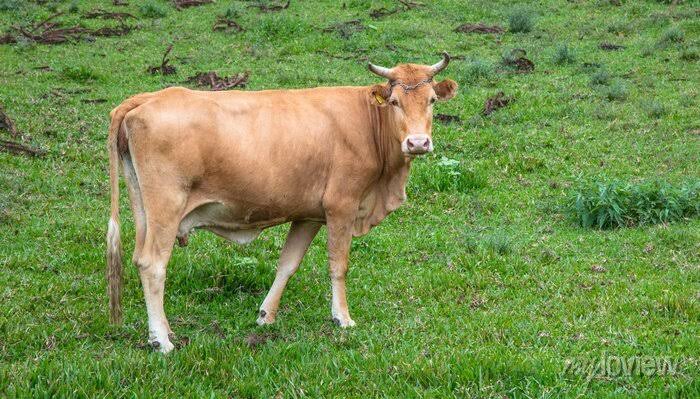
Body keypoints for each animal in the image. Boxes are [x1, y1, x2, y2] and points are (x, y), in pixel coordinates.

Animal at [106, 54, 456, 354]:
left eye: (432, 101)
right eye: (395, 102)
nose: (418, 143)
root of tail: (148, 98)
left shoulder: (310, 214)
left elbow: (288, 263)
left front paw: (266, 315)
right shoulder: (341, 206)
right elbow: (338, 265)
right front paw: (342, 317)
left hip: (144, 209)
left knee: (140, 258)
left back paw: (165, 330)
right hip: (166, 205)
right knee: (153, 264)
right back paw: (161, 340)